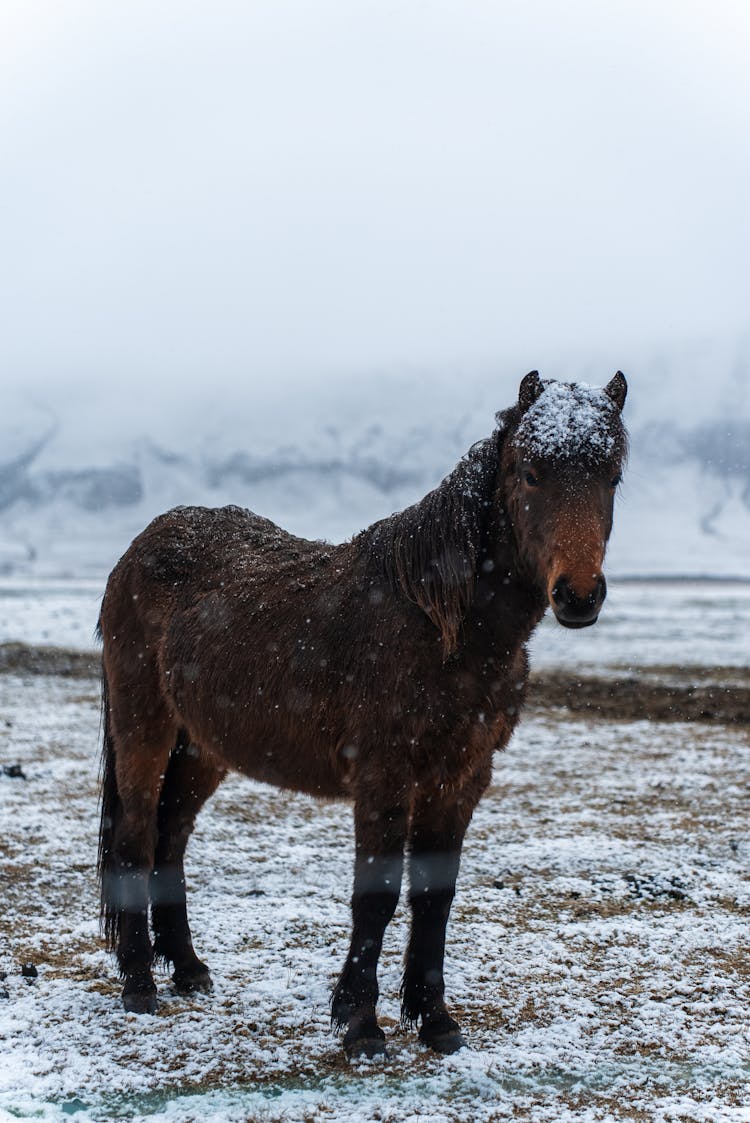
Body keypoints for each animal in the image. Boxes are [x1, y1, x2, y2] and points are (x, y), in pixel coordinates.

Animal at [98, 372, 628, 1055]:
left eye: (612, 476)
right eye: (531, 473)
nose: (579, 596)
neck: (436, 622)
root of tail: (142, 546)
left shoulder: (461, 777)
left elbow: (435, 897)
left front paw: (434, 1020)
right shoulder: (384, 775)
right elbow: (377, 895)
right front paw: (359, 1023)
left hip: (203, 748)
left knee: (171, 837)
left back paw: (187, 969)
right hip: (145, 728)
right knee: (137, 837)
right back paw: (140, 984)